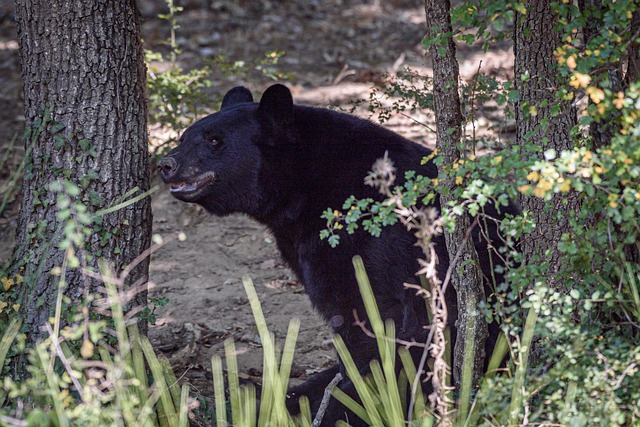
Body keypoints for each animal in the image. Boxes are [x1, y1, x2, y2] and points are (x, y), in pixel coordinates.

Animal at [159, 84, 514, 425]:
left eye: (215, 140)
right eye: (184, 137)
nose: (166, 164)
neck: (305, 186)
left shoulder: (373, 248)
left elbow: (378, 327)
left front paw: (349, 404)